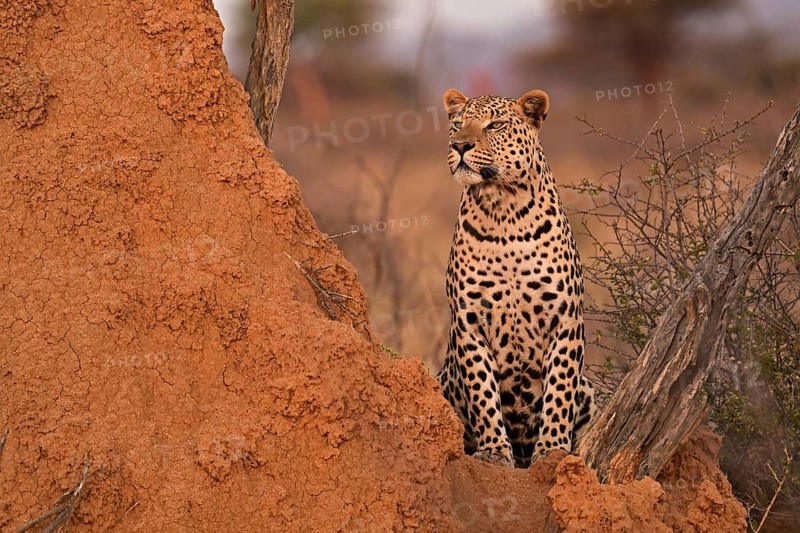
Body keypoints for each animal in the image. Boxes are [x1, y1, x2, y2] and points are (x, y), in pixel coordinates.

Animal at [436, 88, 595, 468]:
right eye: (457, 124)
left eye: (495, 125)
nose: (460, 146)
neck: (503, 209)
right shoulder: (469, 321)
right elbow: (482, 390)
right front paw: (494, 450)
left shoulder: (565, 319)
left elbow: (560, 389)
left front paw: (552, 450)